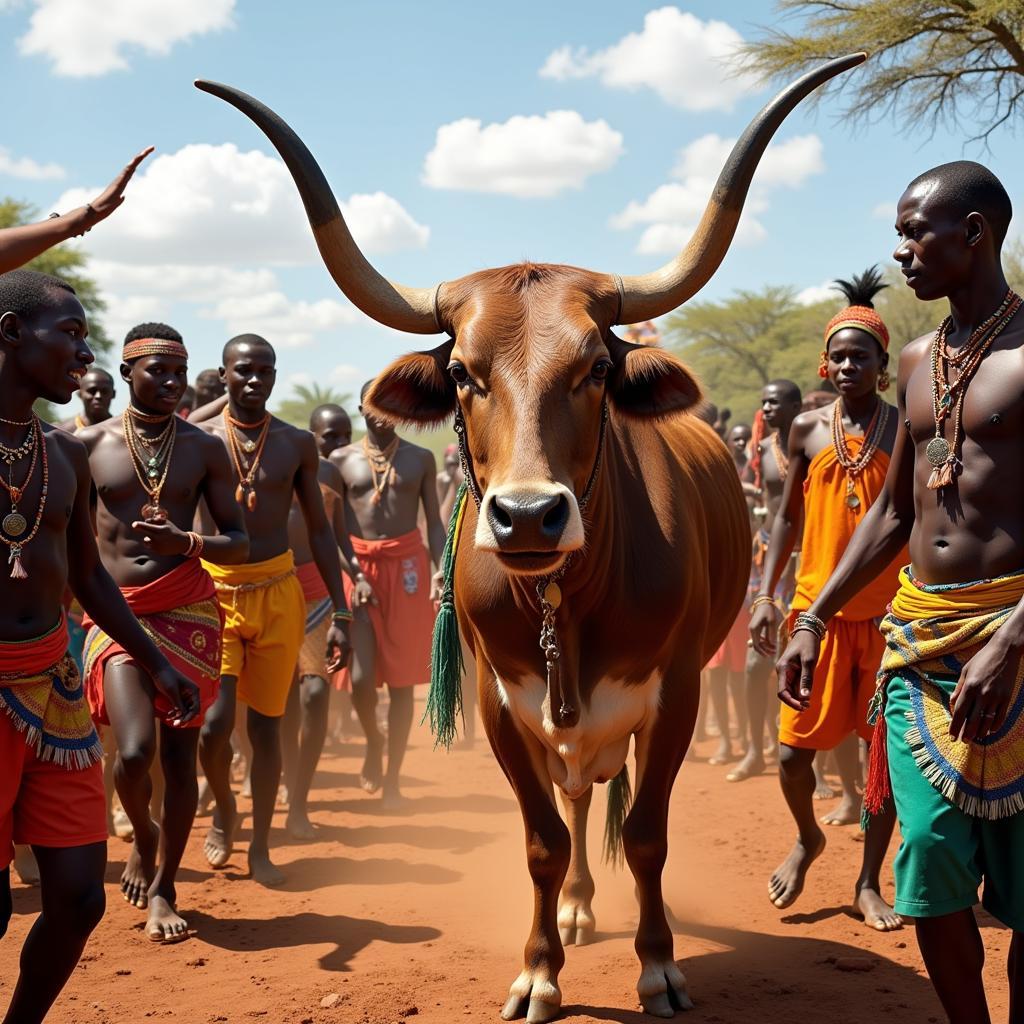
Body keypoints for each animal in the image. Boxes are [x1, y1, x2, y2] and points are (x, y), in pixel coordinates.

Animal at [197, 51, 864, 1019]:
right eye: (464, 374)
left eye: (595, 367)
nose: (525, 516)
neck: (566, 601)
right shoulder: (502, 706)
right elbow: (545, 837)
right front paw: (540, 968)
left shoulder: (676, 695)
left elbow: (649, 832)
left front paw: (659, 965)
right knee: (576, 800)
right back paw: (581, 909)